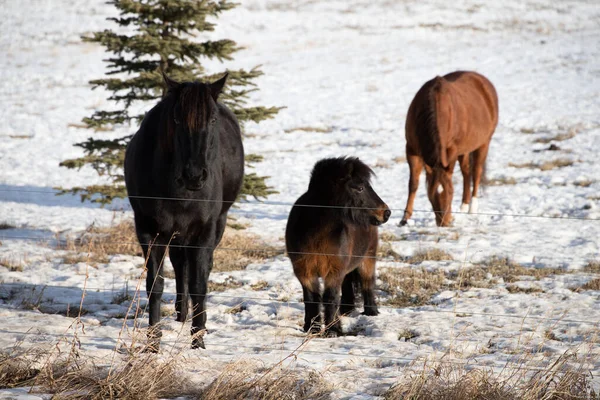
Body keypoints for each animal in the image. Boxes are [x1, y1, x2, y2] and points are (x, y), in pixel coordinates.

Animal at [124, 72, 244, 350]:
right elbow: (155, 284)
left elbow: (200, 282)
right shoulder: (149, 230)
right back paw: (181, 315)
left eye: (212, 119)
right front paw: (153, 341)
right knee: (180, 264)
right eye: (177, 119)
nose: (194, 175)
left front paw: (197, 340)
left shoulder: (204, 230)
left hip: (216, 225)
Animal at [284, 157, 392, 338]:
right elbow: (311, 298)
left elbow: (330, 298)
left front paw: (332, 330)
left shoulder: (333, 271)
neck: (316, 234)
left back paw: (371, 312)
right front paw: (312, 328)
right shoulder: (305, 271)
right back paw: (346, 311)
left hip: (368, 258)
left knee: (367, 284)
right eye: (360, 188)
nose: (386, 213)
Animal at [400, 70, 500, 227]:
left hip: (484, 143)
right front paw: (404, 219)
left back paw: (472, 208)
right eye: (430, 193)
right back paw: (464, 205)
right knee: (466, 171)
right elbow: (413, 184)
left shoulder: (451, 151)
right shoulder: (411, 150)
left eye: (451, 192)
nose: (445, 223)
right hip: (465, 149)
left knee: (476, 172)